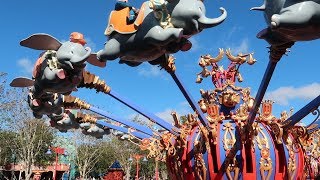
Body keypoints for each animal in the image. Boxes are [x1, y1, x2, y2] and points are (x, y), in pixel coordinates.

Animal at [96, 0, 226, 65]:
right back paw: (97, 57)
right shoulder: (148, 28)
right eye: (198, 10)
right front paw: (179, 32)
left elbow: (173, 47)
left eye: (203, 10)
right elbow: (158, 35)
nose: (221, 9)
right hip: (114, 45)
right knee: (108, 53)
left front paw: (186, 44)